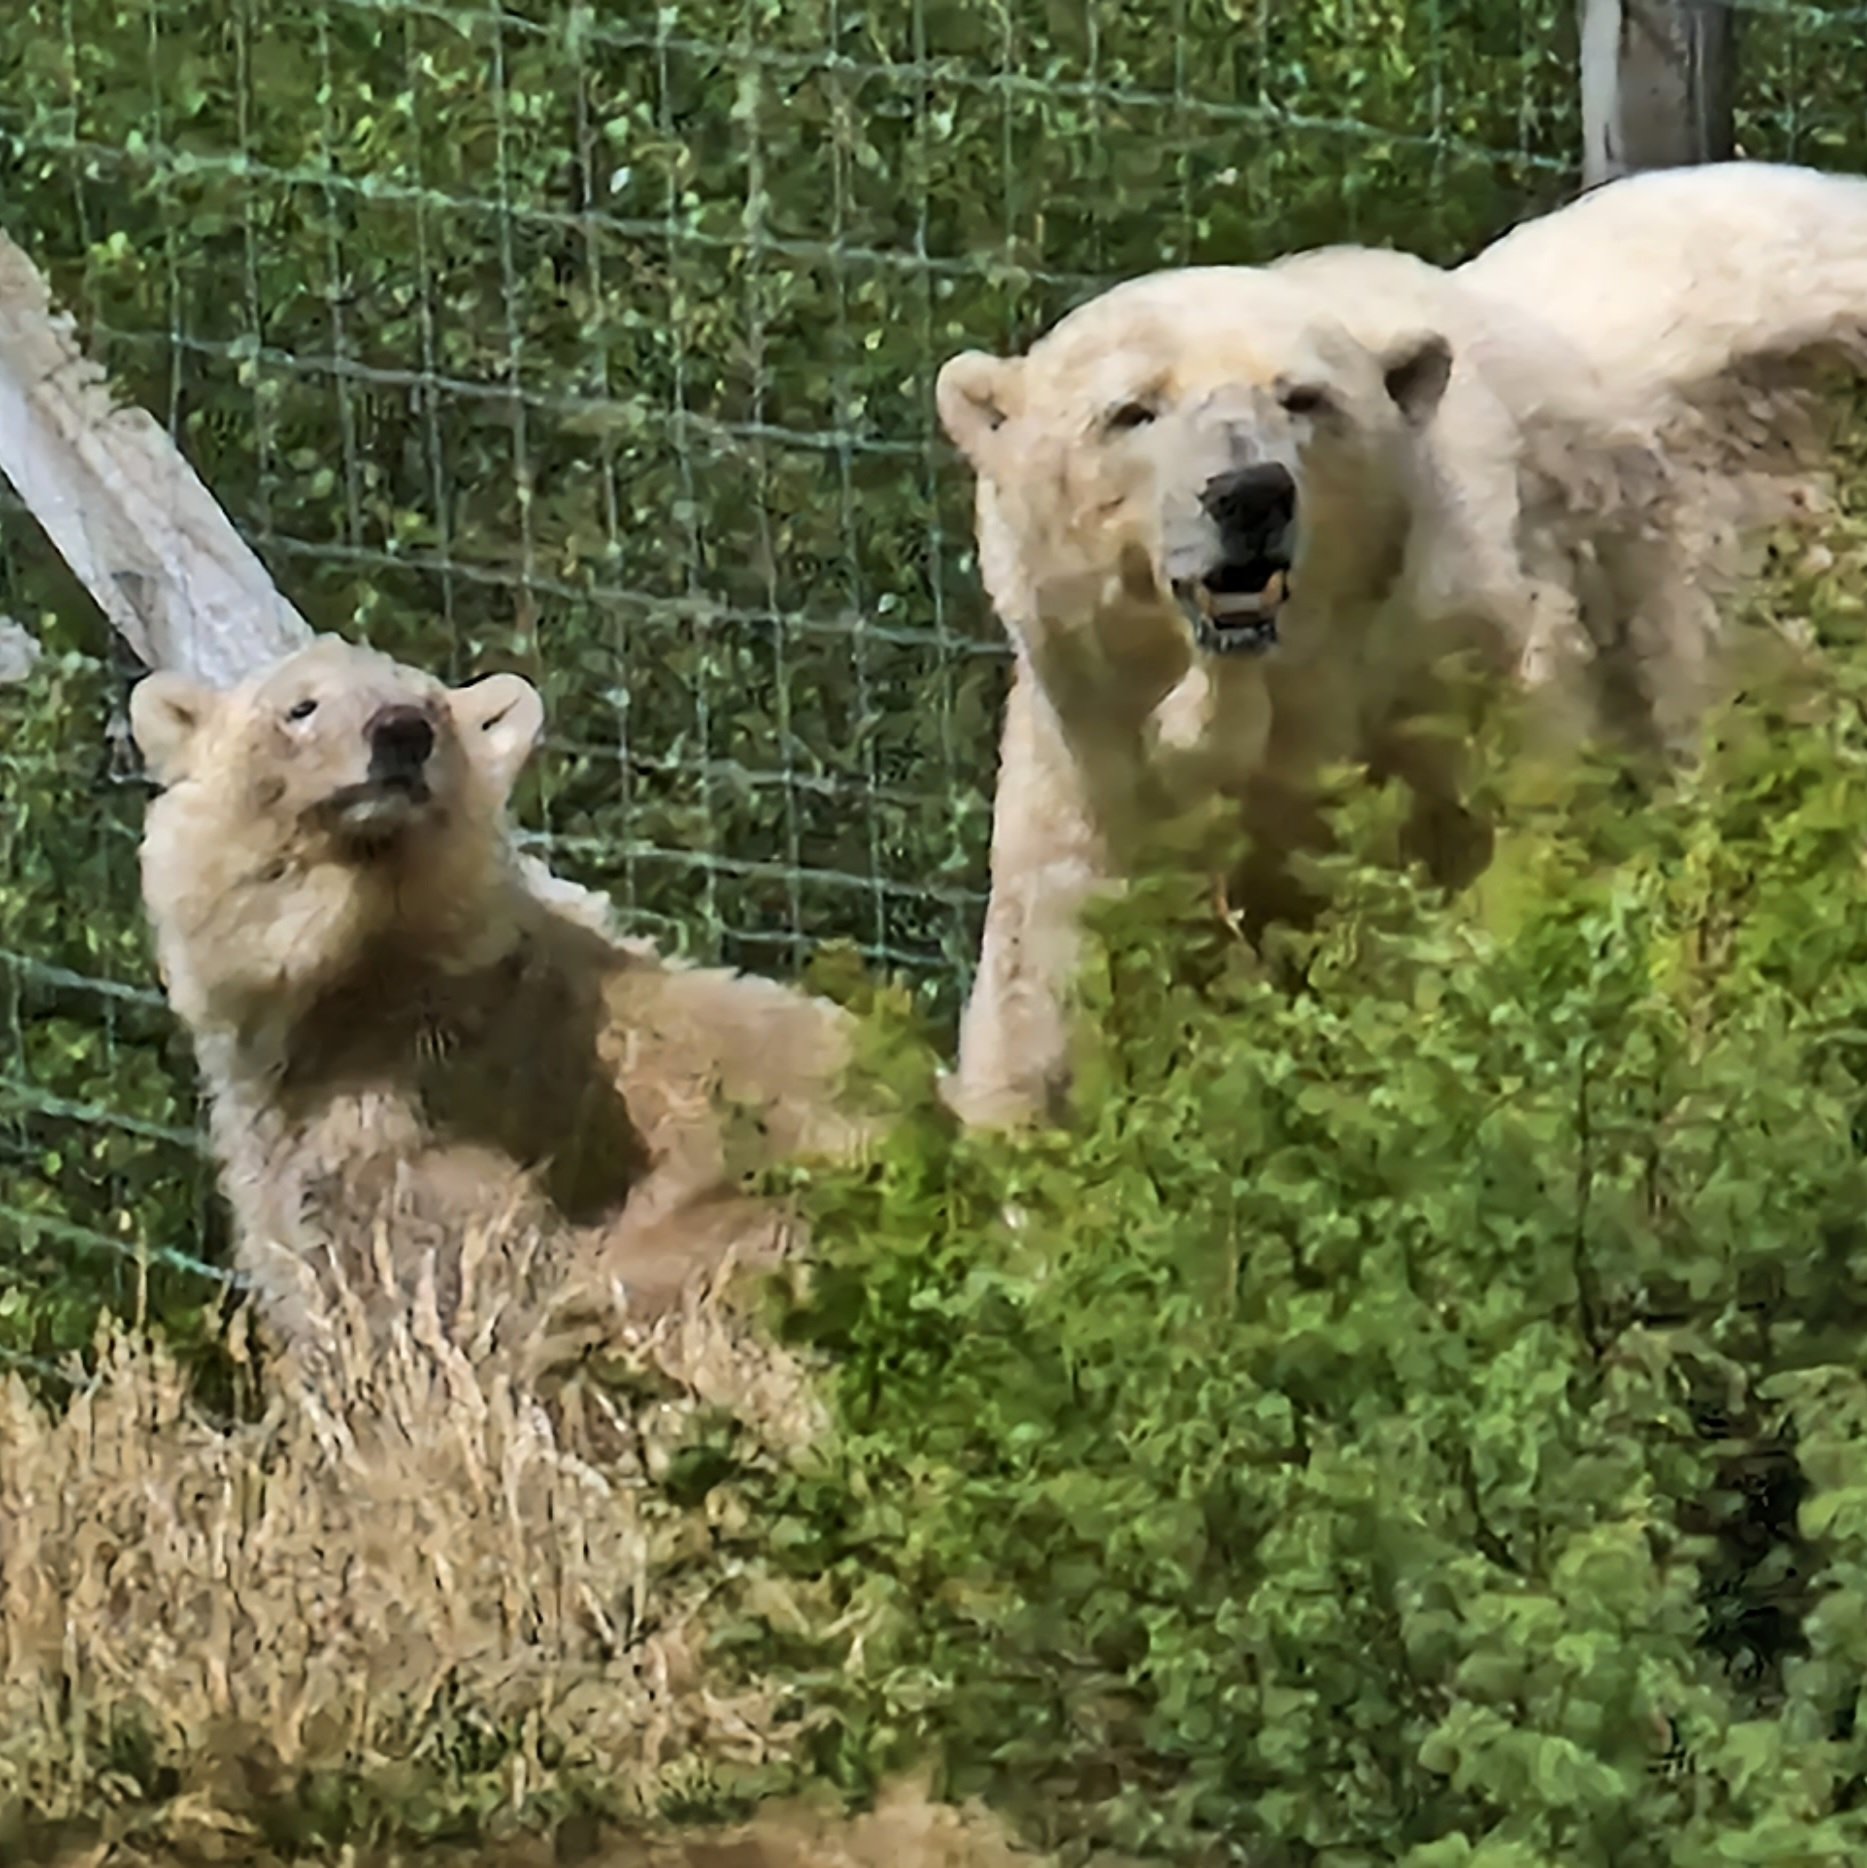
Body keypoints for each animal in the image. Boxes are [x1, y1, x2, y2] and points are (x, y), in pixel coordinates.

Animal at [934, 159, 1867, 1129]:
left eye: (1303, 397)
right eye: (1130, 411)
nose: (1249, 493)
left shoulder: (1479, 673)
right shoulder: (1100, 745)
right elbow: (1052, 958)